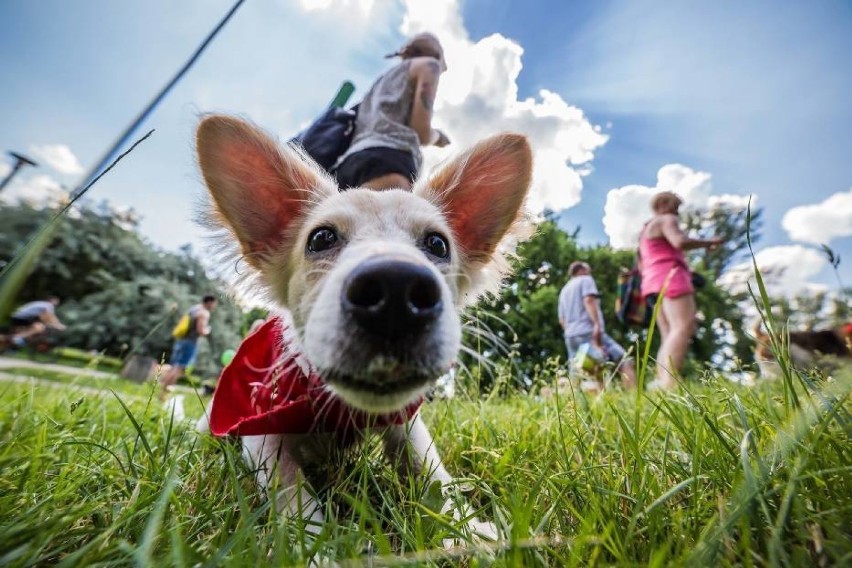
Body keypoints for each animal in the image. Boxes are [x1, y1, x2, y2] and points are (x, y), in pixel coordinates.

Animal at [194, 114, 532, 552]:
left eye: (438, 244)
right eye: (321, 238)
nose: (395, 291)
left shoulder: (408, 426)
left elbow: (435, 475)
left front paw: (472, 531)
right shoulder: (261, 435)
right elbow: (292, 495)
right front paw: (317, 550)